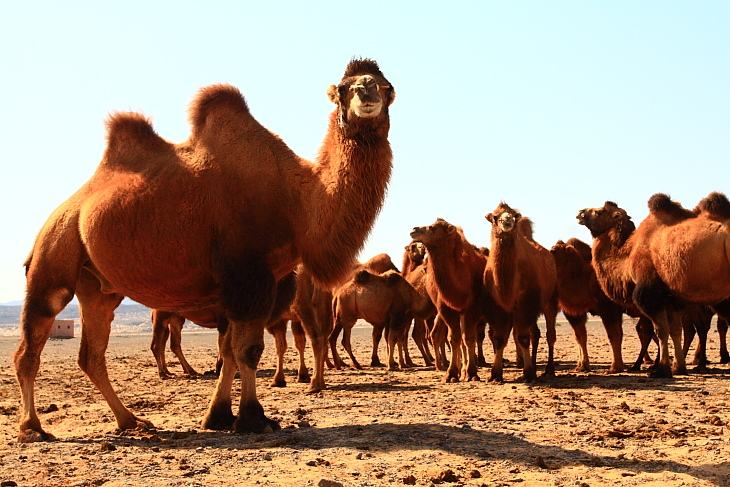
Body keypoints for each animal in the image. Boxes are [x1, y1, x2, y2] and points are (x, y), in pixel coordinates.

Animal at [14, 58, 396, 442]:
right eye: (343, 87)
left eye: (387, 85)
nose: (366, 89)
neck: (296, 201)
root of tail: (65, 210)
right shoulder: (247, 278)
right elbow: (247, 351)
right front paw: (253, 418)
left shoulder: (255, 285)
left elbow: (229, 351)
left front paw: (219, 416)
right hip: (54, 256)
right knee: (31, 343)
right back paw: (33, 427)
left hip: (97, 287)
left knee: (91, 353)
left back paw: (131, 421)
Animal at [404, 219, 490, 384]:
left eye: (432, 227)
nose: (414, 229)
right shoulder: (446, 309)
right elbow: (454, 338)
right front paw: (452, 374)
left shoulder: (472, 309)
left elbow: (469, 338)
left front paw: (472, 373)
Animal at [484, 204, 556, 384]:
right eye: (495, 216)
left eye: (514, 215)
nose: (507, 220)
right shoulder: (498, 307)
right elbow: (499, 338)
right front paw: (495, 374)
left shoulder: (526, 302)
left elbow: (523, 337)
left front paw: (529, 373)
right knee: (535, 333)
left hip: (549, 301)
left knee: (549, 334)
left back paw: (548, 370)